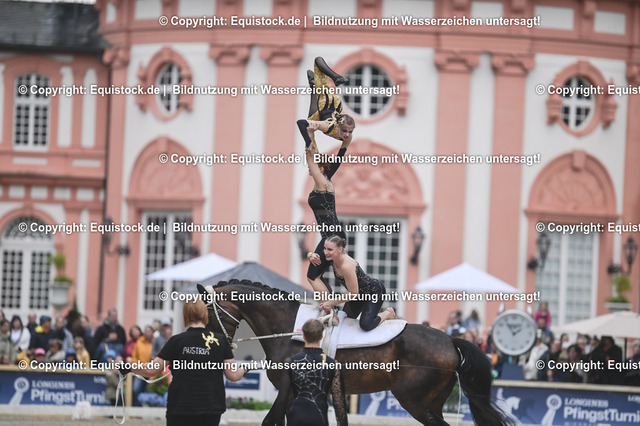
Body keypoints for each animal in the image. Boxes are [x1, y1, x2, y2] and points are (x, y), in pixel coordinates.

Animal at [199, 280, 510, 426]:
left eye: (211, 315)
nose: (217, 346)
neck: (289, 329)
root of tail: (450, 340)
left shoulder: (289, 389)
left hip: (416, 402)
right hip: (430, 403)